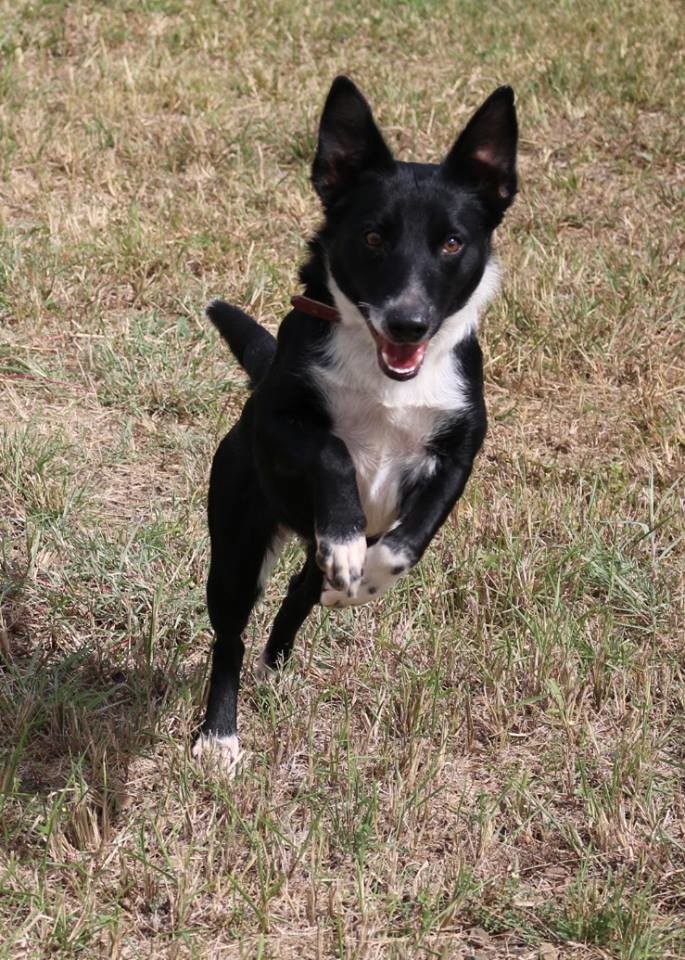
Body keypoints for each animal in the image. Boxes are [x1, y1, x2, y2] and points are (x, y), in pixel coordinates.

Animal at [193, 76, 518, 773]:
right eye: (372, 237)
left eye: (453, 242)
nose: (409, 323)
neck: (384, 369)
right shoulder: (280, 421)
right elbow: (333, 450)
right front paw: (345, 542)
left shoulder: (459, 450)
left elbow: (409, 539)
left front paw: (365, 576)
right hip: (236, 540)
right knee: (230, 635)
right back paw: (221, 731)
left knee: (300, 588)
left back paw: (287, 647)